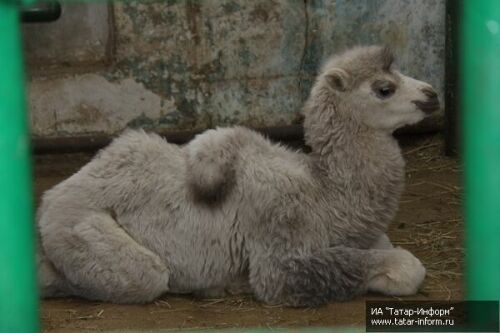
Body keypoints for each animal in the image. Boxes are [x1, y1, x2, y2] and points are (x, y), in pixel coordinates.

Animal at [37, 45, 440, 304]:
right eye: (384, 88)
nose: (432, 94)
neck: (324, 193)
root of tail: (50, 198)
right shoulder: (280, 253)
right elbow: (403, 267)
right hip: (84, 232)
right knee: (139, 278)